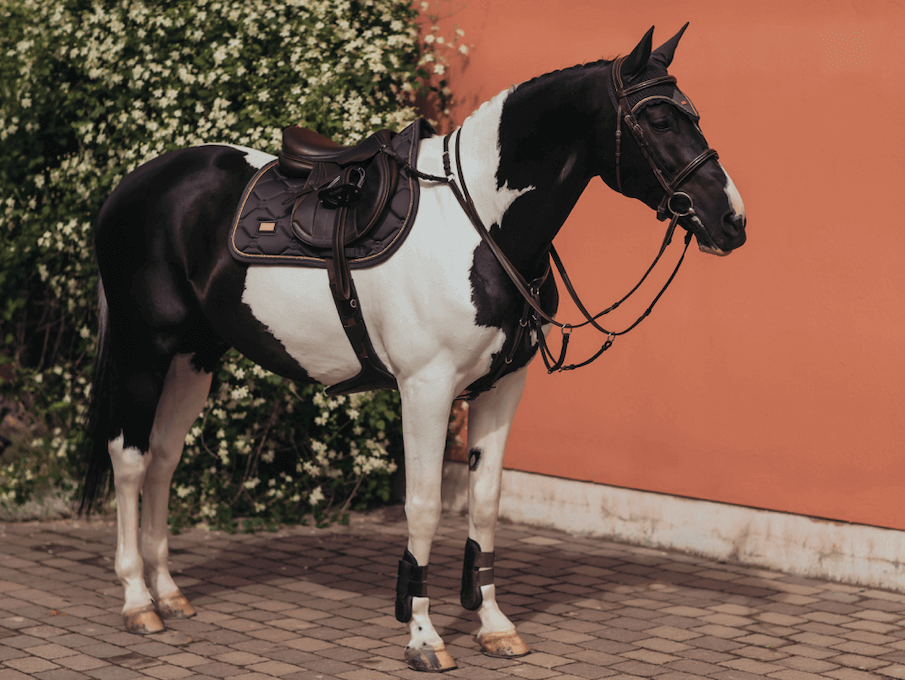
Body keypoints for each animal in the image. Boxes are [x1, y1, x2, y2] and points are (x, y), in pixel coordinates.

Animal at [79, 24, 746, 672]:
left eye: (691, 114)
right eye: (658, 120)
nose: (732, 220)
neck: (480, 225)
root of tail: (133, 185)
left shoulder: (503, 387)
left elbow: (484, 502)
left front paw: (494, 626)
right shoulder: (426, 389)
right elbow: (424, 506)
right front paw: (423, 636)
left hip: (194, 357)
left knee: (164, 458)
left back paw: (169, 592)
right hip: (144, 350)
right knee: (130, 459)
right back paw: (138, 600)